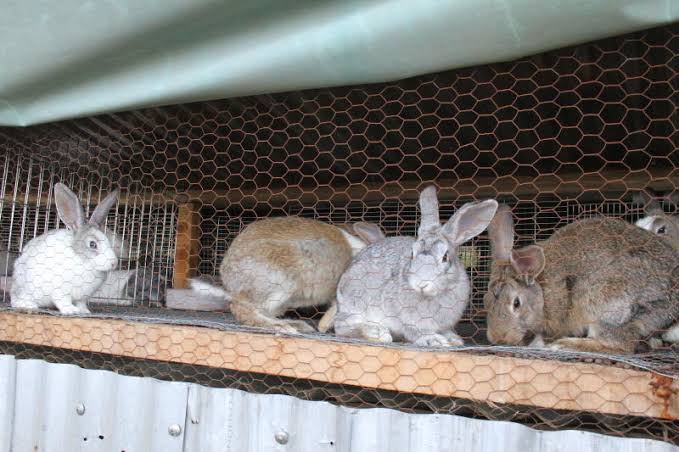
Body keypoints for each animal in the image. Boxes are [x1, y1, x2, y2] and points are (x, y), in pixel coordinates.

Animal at [10, 183, 120, 315]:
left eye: (108, 240)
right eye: (92, 244)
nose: (114, 263)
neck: (83, 260)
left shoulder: (82, 297)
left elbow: (81, 303)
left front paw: (85, 311)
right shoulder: (60, 290)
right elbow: (63, 301)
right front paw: (71, 310)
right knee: (16, 301)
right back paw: (29, 306)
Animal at [195, 217, 384, 333]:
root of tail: (229, 282)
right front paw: (324, 327)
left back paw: (295, 324)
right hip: (281, 282)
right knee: (242, 309)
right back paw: (282, 327)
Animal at [334, 186, 498, 347]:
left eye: (445, 257)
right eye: (412, 253)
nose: (421, 283)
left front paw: (454, 340)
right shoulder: (407, 320)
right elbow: (414, 332)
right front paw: (434, 340)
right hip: (357, 302)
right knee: (340, 326)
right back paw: (376, 332)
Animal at [484, 205, 679, 354]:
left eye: (516, 303)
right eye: (485, 301)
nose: (498, 338)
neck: (542, 288)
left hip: (609, 306)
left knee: (621, 346)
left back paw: (566, 344)